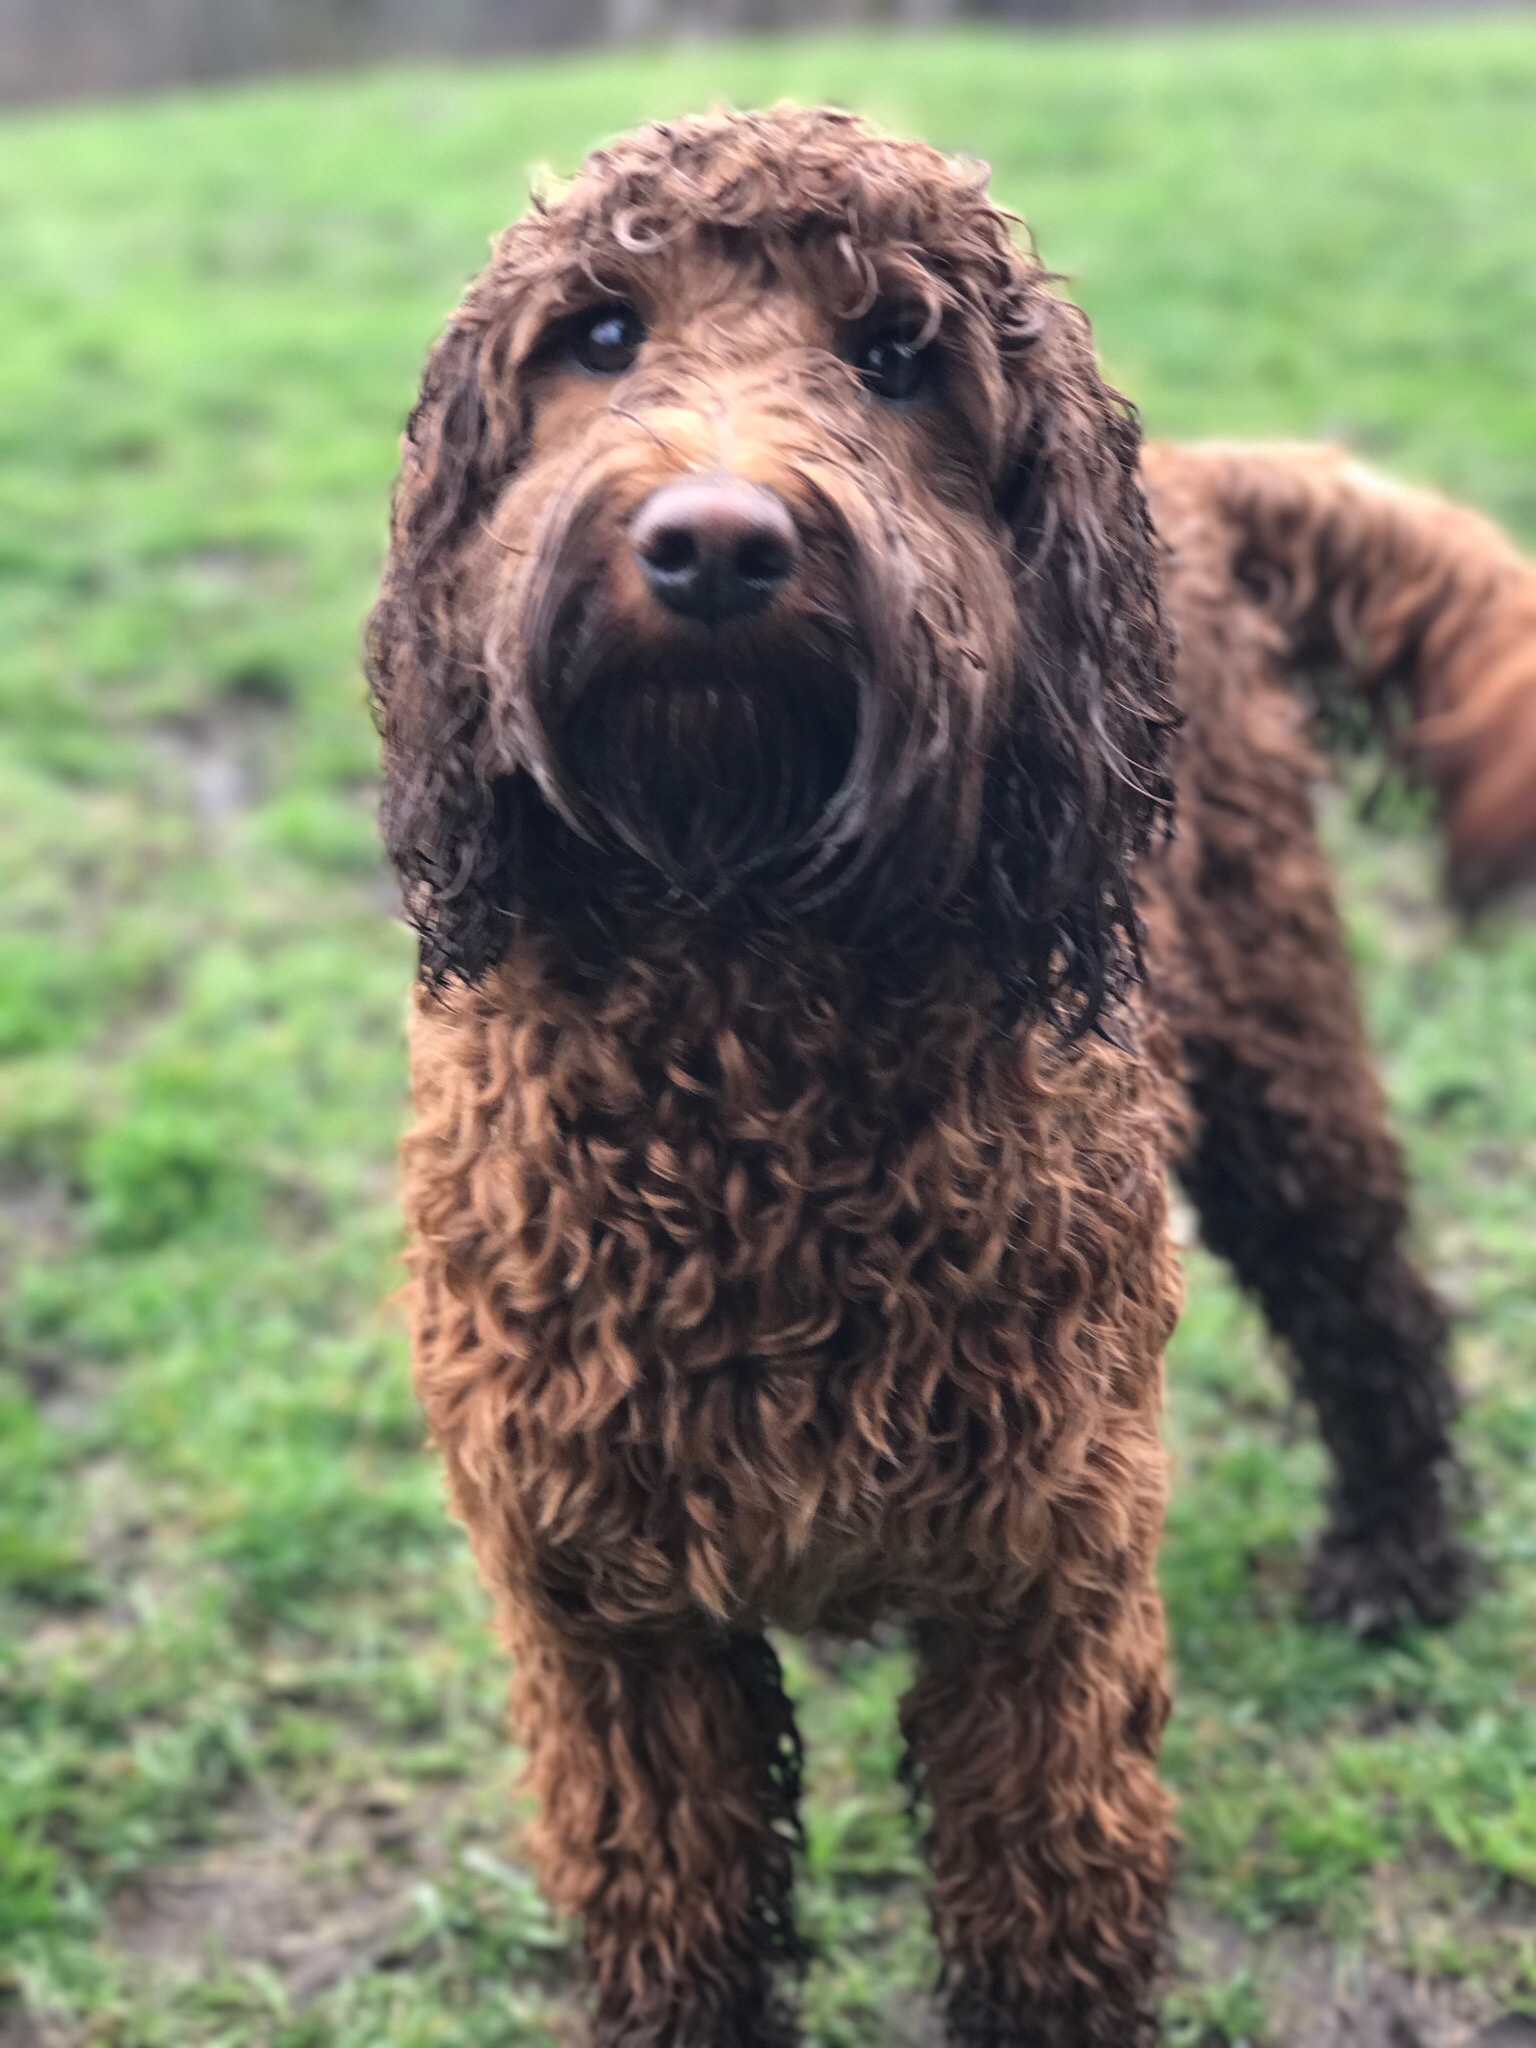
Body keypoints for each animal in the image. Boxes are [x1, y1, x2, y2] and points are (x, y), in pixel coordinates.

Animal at [368, 107, 1536, 2048]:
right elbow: (677, 1918)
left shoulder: (1038, 1589)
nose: (713, 545)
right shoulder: (609, 1617)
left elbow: (1046, 1912)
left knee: (1364, 1294)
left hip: (1277, 1052)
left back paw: (1396, 1562)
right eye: (598, 335)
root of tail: (1194, 482)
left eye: (897, 356)